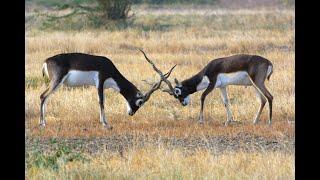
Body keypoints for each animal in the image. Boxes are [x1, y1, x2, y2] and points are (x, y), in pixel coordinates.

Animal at [39, 51, 178, 129]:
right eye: (140, 102)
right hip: (57, 82)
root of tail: (46, 61)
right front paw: (105, 124)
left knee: (44, 97)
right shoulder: (100, 82)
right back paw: (42, 124)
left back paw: (43, 122)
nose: (131, 113)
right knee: (43, 96)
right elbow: (101, 102)